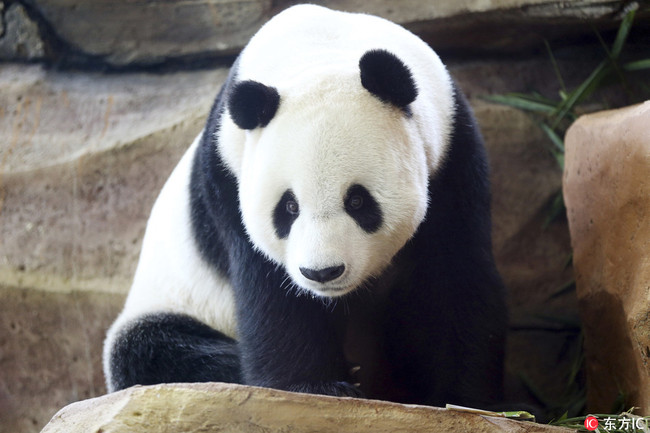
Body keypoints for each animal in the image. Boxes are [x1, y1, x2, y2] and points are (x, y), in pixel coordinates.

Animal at [101, 4, 506, 408]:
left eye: (358, 200)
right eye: (289, 207)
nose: (322, 272)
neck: (321, 51)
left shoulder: (452, 155)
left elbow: (451, 278)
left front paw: (461, 399)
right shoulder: (229, 177)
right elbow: (273, 293)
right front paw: (315, 386)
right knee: (149, 349)